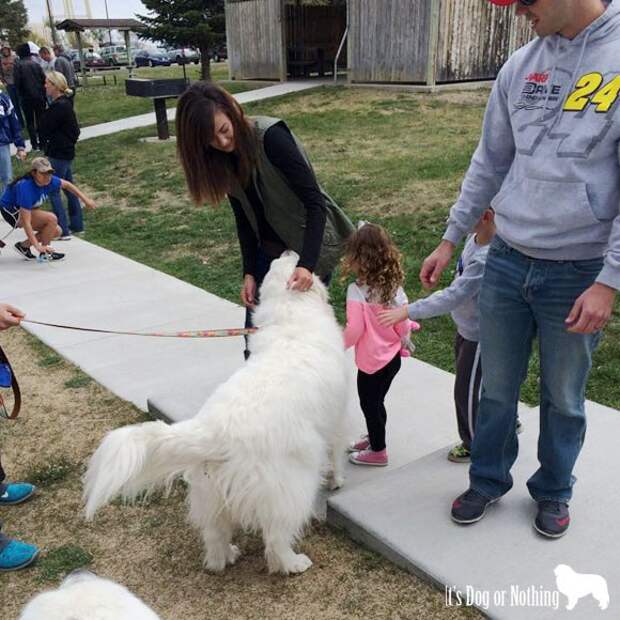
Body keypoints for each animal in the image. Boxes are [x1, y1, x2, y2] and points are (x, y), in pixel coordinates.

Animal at [83, 252, 348, 576]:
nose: (287, 252)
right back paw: (293, 563)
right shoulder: (340, 415)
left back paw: (226, 557)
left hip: (210, 493)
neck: (290, 315)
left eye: (273, 268)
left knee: (214, 538)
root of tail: (212, 431)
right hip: (289, 487)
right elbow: (337, 451)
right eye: (284, 265)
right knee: (275, 538)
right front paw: (337, 480)